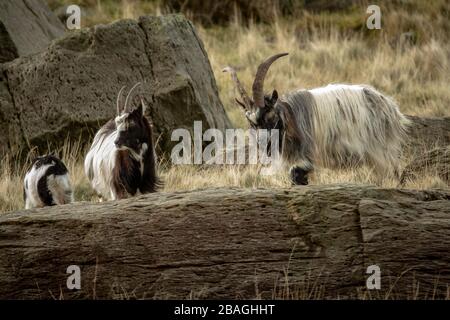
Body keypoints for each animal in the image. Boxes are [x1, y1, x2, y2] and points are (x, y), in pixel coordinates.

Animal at [223, 52, 410, 185]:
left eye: (270, 116)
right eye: (251, 122)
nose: (265, 147)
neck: (291, 118)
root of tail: (391, 108)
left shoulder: (306, 159)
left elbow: (297, 177)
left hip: (380, 150)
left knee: (393, 172)